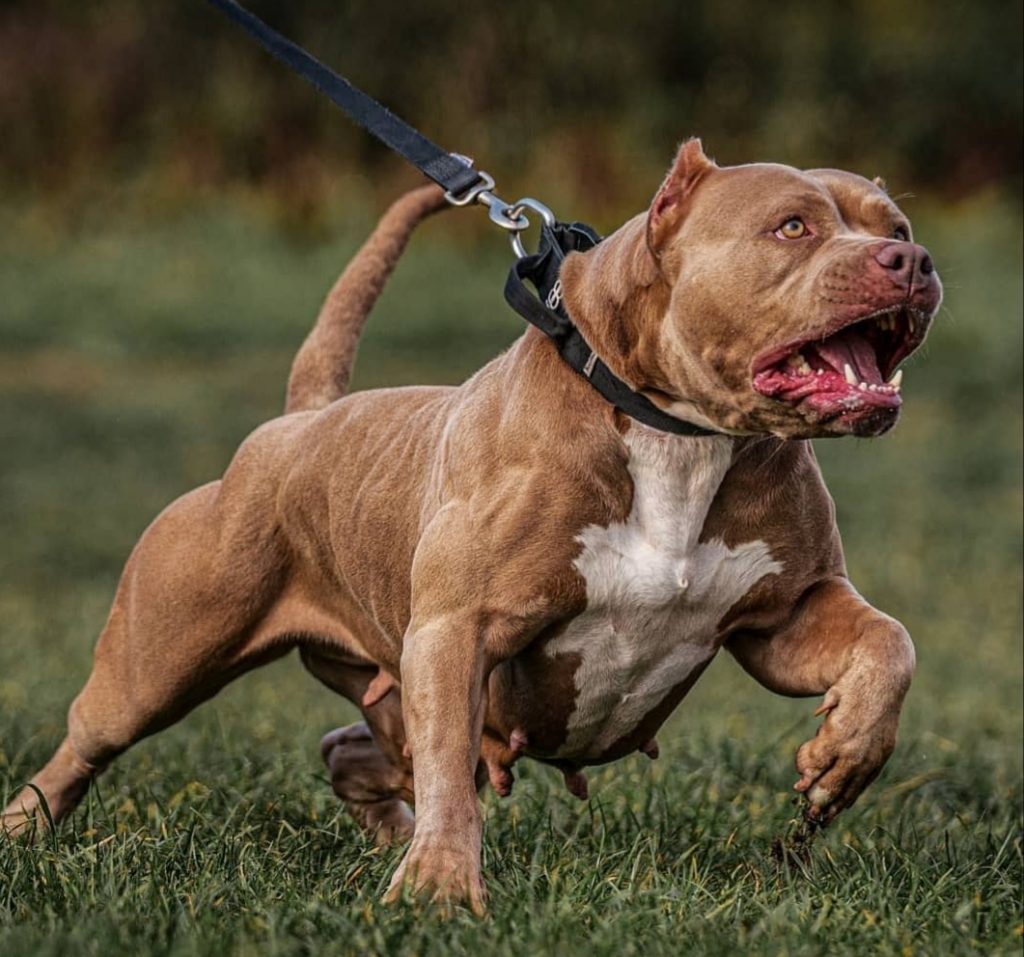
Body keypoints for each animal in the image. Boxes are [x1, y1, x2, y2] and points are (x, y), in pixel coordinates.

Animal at [2, 140, 942, 912]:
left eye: (892, 225)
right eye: (792, 227)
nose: (913, 258)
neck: (679, 435)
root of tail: (301, 420)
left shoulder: (786, 614)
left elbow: (890, 641)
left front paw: (846, 752)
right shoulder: (460, 630)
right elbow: (455, 771)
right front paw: (441, 888)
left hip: (383, 685)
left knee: (354, 748)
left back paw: (388, 829)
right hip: (160, 660)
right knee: (86, 744)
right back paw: (22, 830)